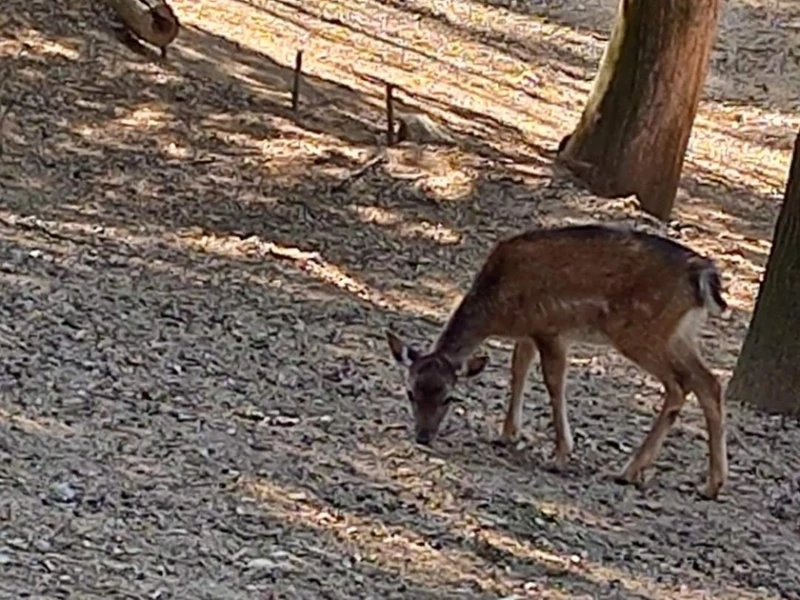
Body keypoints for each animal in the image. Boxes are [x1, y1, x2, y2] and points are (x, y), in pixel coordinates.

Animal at [388, 223, 732, 500]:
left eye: (449, 398)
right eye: (410, 392)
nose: (423, 436)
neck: (498, 306)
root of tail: (702, 275)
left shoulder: (550, 329)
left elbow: (554, 382)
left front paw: (561, 454)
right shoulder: (528, 333)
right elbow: (518, 369)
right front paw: (507, 434)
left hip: (642, 332)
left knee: (679, 384)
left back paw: (629, 470)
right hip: (679, 335)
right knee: (708, 382)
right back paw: (711, 485)